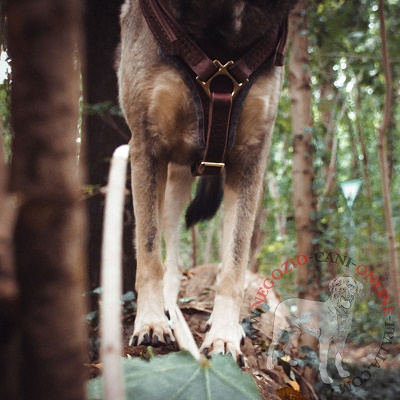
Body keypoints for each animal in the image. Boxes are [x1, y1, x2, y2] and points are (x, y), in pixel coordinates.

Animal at [115, 0, 296, 362]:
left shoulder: (250, 156)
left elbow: (235, 262)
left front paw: (224, 333)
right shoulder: (147, 147)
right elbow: (149, 249)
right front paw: (151, 320)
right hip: (170, 176)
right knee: (168, 250)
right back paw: (168, 309)